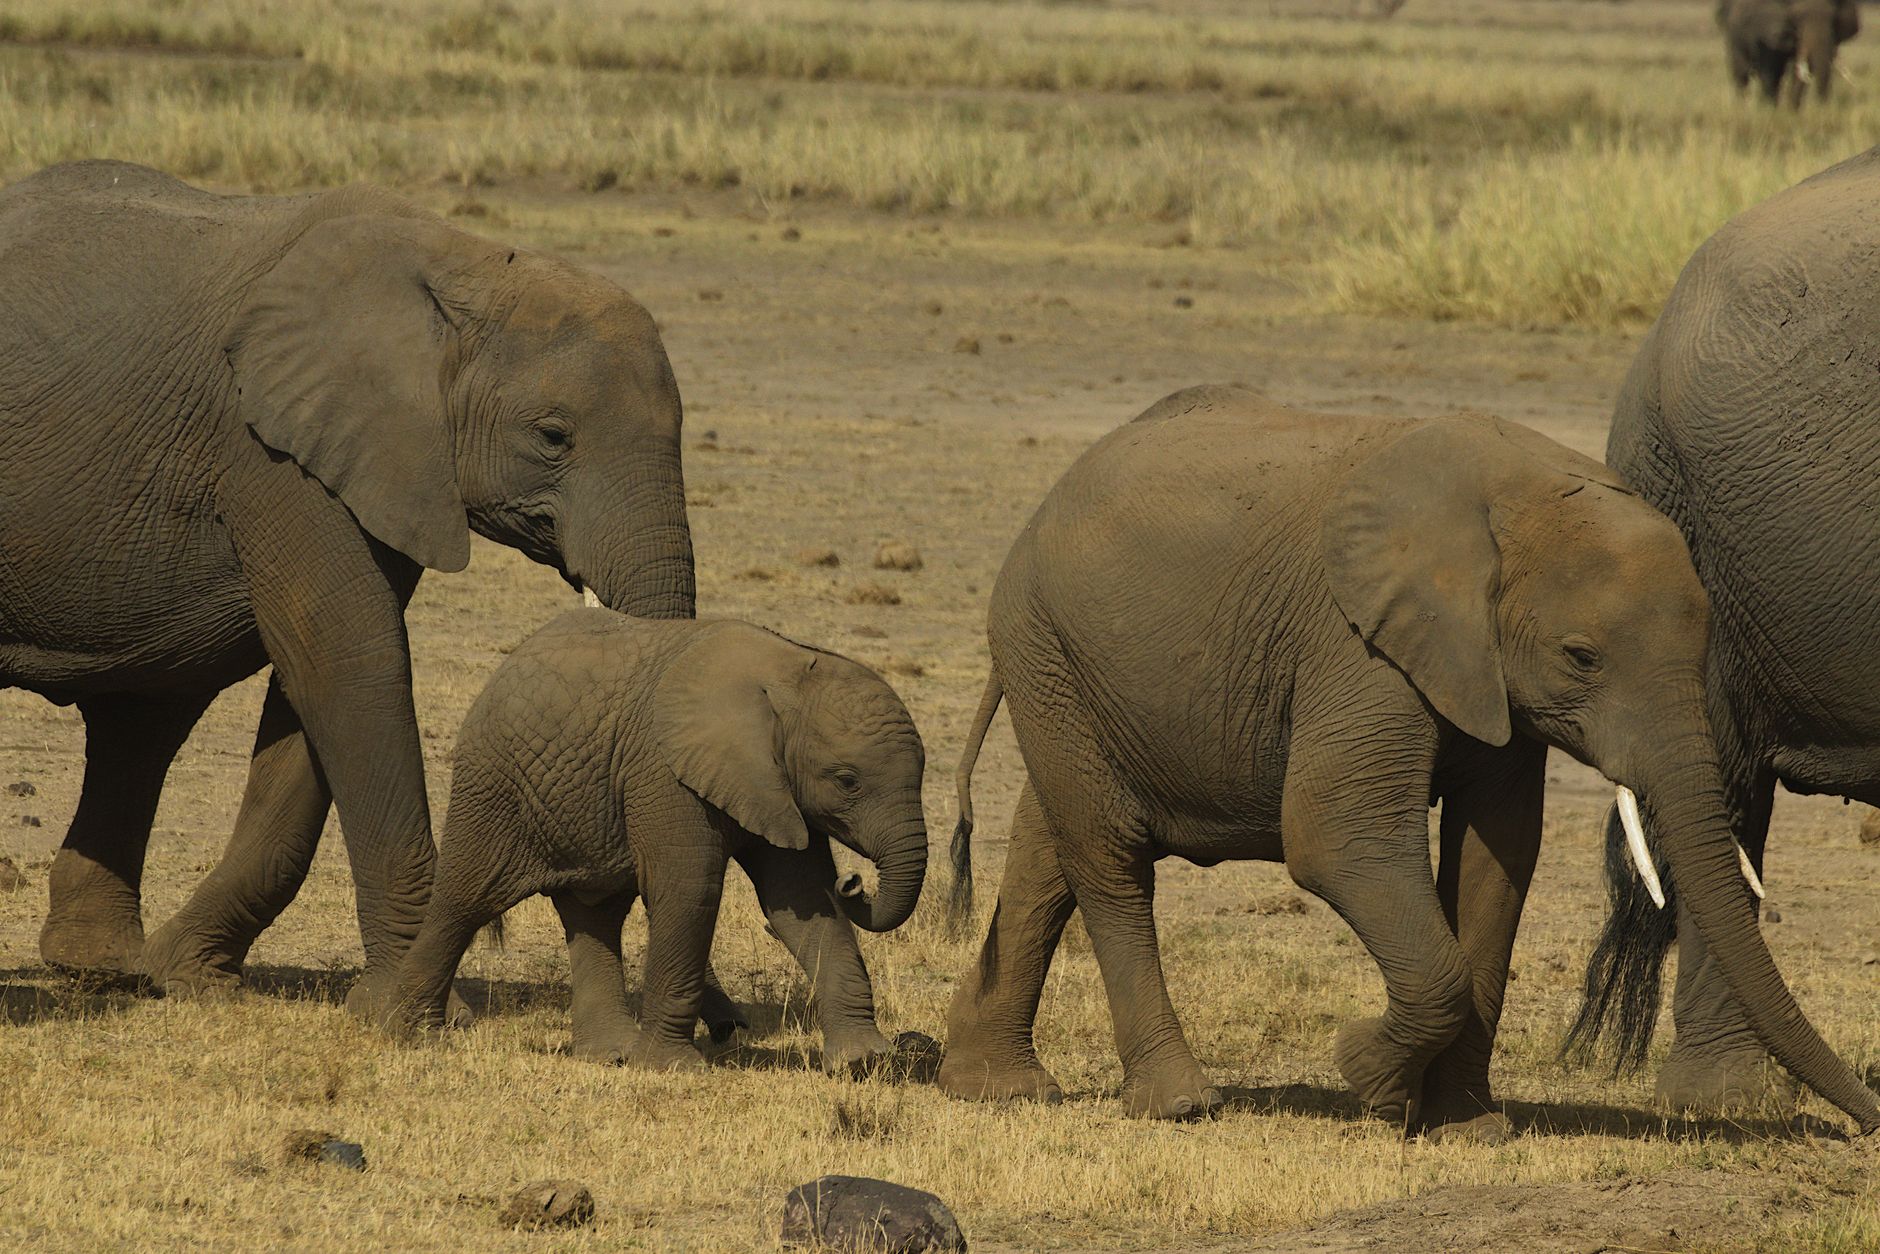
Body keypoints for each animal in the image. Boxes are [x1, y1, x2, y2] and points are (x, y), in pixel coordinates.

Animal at [0, 161, 695, 1016]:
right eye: (553, 437)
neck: (464, 270)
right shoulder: (271, 452)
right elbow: (351, 662)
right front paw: (422, 1012)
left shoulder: (377, 462)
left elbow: (310, 691)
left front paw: (193, 977)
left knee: (144, 715)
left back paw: (107, 967)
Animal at [384, 610, 928, 1071]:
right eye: (847, 781)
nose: (855, 882)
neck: (788, 673)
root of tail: (505, 665)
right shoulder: (665, 773)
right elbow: (689, 891)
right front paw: (671, 1068)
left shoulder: (776, 787)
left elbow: (802, 903)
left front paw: (863, 1062)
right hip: (492, 784)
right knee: (465, 899)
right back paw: (413, 1035)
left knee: (594, 915)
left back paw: (609, 1055)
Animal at [936, 385, 1880, 1142]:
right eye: (1580, 657)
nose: (1863, 1127)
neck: (1517, 492)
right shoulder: (1358, 646)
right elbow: (1335, 836)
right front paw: (1369, 1081)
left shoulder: (1488, 674)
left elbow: (1497, 861)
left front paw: (1469, 1129)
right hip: (1042, 641)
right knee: (1108, 857)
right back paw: (1179, 1104)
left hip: (1067, 670)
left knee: (1048, 845)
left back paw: (995, 1089)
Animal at [1717, 0, 1858, 104]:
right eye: (1797, 19)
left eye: (1833, 19)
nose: (1823, 107)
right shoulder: (1768, 31)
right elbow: (1771, 73)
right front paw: (1769, 113)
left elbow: (1797, 74)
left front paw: (1792, 115)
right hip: (1734, 39)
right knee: (1741, 75)